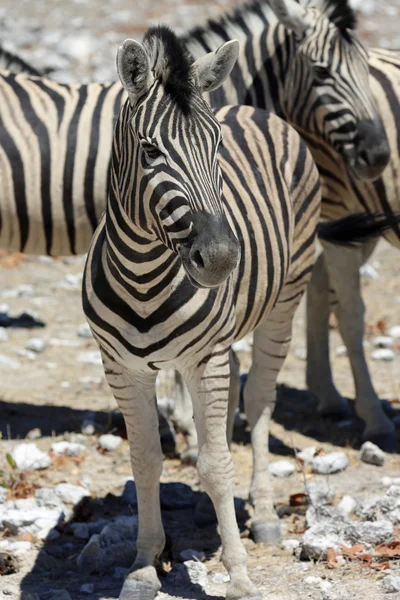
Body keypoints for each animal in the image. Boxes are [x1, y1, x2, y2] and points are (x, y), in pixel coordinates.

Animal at [83, 24, 398, 596]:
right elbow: (145, 459)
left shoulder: (201, 359)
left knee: (259, 399)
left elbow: (215, 463)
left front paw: (239, 576)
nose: (223, 258)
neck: (144, 275)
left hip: (284, 299)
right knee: (231, 399)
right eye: (150, 151)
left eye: (216, 146)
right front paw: (142, 566)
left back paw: (264, 513)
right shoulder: (122, 367)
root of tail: (255, 108)